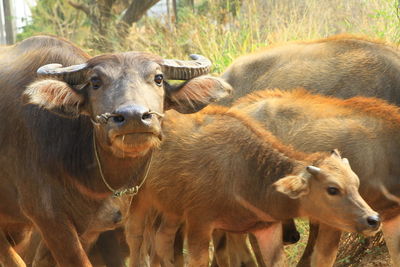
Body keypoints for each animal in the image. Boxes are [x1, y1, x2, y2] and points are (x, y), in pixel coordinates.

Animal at [125, 106, 378, 267]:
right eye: (332, 189)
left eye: (356, 183)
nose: (373, 219)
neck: (244, 174)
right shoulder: (199, 223)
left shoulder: (266, 230)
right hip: (139, 198)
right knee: (135, 237)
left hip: (171, 209)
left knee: (162, 239)